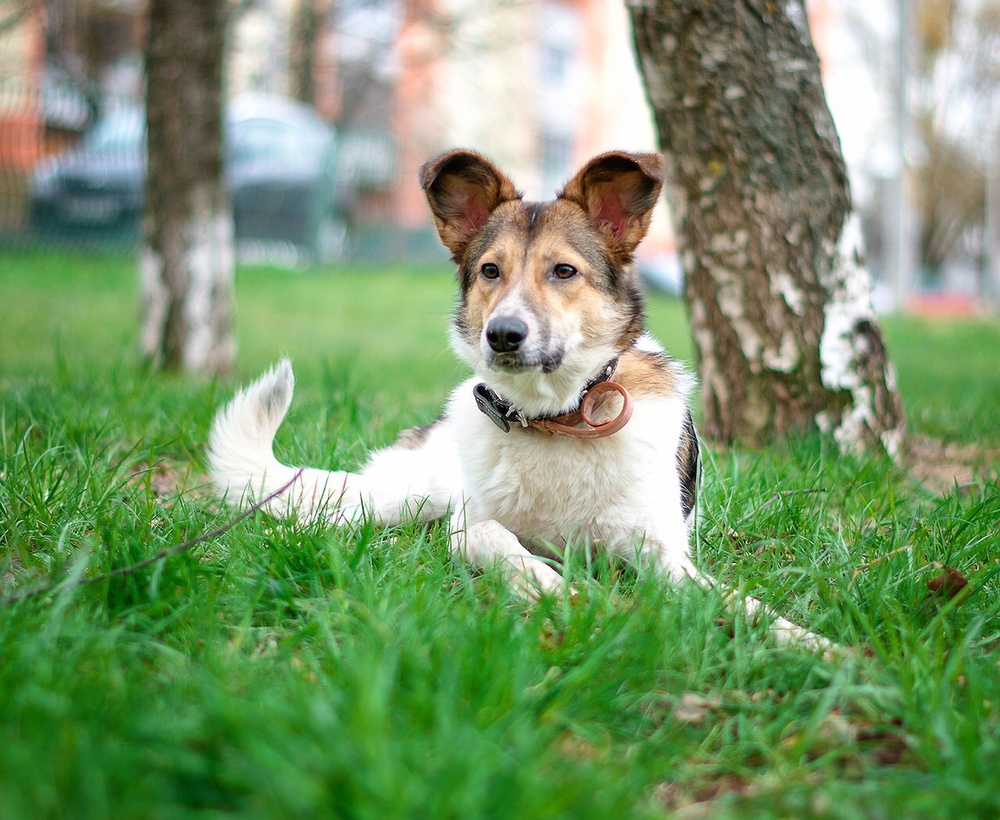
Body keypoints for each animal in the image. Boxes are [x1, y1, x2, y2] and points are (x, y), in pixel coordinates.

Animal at [209, 147, 820, 648]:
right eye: (489, 271)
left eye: (565, 270)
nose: (503, 333)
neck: (557, 419)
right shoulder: (468, 527)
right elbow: (502, 542)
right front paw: (571, 597)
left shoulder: (661, 553)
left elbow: (739, 602)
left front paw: (812, 646)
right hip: (405, 496)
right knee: (331, 512)